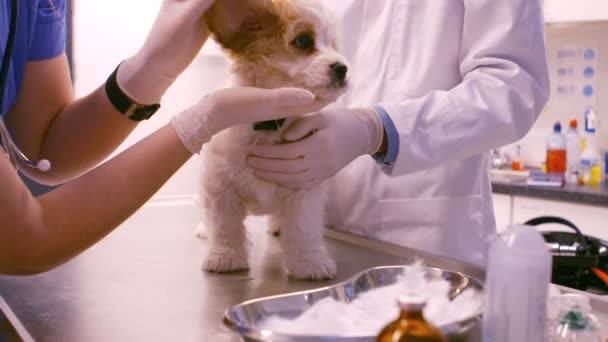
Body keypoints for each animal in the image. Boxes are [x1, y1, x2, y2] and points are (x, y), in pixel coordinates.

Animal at [200, 0, 350, 280]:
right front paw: (226, 255)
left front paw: (308, 261)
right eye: (303, 41)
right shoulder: (220, 186)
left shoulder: (303, 185)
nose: (342, 68)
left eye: (333, 45)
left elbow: (303, 227)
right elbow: (225, 225)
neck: (268, 123)